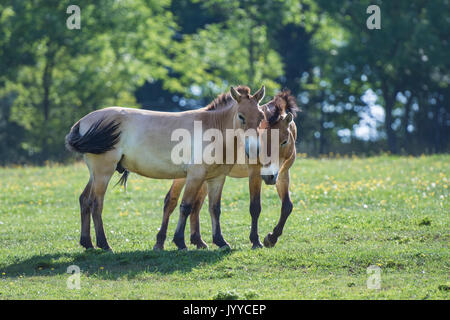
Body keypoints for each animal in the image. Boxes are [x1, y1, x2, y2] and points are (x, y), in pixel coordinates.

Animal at [65, 85, 266, 250]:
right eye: (241, 116)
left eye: (261, 117)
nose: (255, 149)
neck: (213, 129)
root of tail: (82, 122)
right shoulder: (195, 176)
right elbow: (186, 206)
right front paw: (180, 242)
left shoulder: (216, 178)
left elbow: (214, 209)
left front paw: (221, 241)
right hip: (103, 173)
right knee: (96, 204)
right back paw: (104, 244)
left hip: (95, 174)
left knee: (84, 200)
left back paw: (88, 243)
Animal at [156, 90, 300, 250]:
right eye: (261, 139)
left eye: (284, 141)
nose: (269, 177)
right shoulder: (255, 174)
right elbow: (255, 207)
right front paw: (256, 241)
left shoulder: (283, 173)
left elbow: (287, 206)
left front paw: (272, 238)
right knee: (171, 201)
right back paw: (160, 243)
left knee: (196, 205)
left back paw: (198, 241)